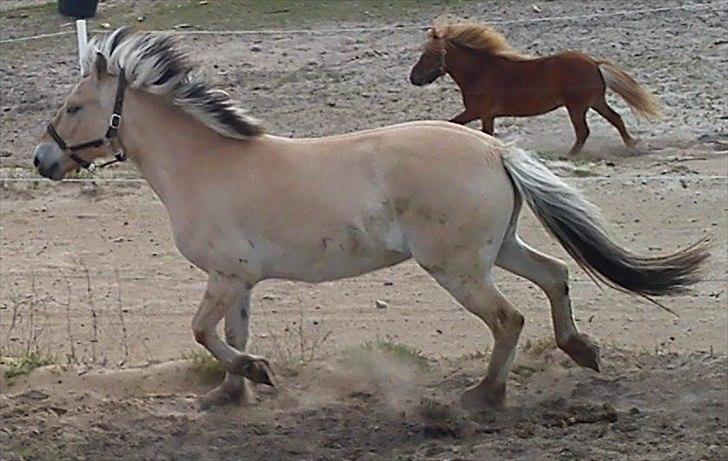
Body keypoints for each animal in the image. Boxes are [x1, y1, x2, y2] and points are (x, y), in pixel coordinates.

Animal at [412, 19, 664, 155]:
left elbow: (452, 123)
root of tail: (594, 63)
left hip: (577, 107)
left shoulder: (476, 111)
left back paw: (570, 155)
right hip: (595, 102)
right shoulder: (487, 115)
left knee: (584, 131)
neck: (481, 72)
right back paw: (633, 145)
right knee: (616, 119)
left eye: (430, 54)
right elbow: (487, 134)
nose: (413, 78)